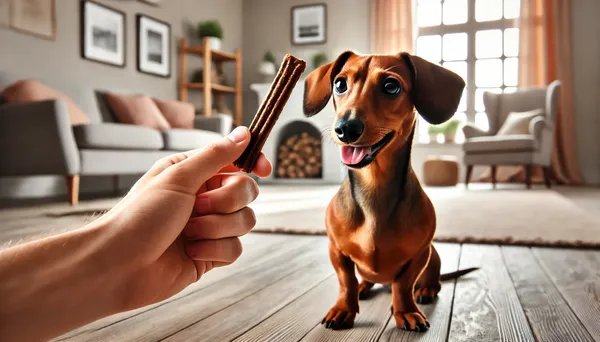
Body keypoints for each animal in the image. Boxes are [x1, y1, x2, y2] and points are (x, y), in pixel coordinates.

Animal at [304, 50, 478, 332]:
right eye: (339, 84)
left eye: (391, 86)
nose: (346, 129)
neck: (375, 188)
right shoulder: (336, 251)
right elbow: (346, 282)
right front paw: (344, 309)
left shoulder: (419, 254)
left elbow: (403, 285)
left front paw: (405, 311)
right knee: (363, 280)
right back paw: (364, 286)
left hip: (433, 255)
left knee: (431, 279)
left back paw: (426, 289)